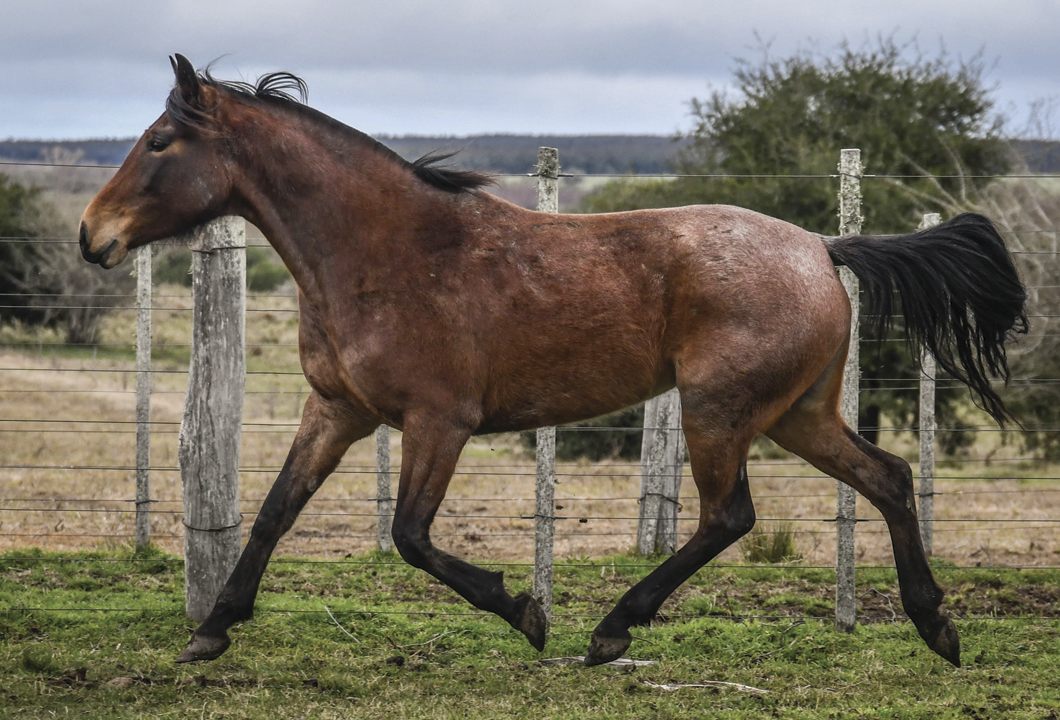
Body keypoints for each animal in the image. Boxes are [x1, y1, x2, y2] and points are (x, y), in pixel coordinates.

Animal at [80, 54, 1026, 670]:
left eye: (159, 141)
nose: (93, 236)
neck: (383, 251)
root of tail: (824, 250)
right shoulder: (337, 410)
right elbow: (276, 510)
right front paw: (211, 630)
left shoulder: (440, 421)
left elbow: (411, 535)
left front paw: (526, 612)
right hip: (798, 414)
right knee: (888, 478)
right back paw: (936, 627)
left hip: (719, 410)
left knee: (731, 517)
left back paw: (611, 630)